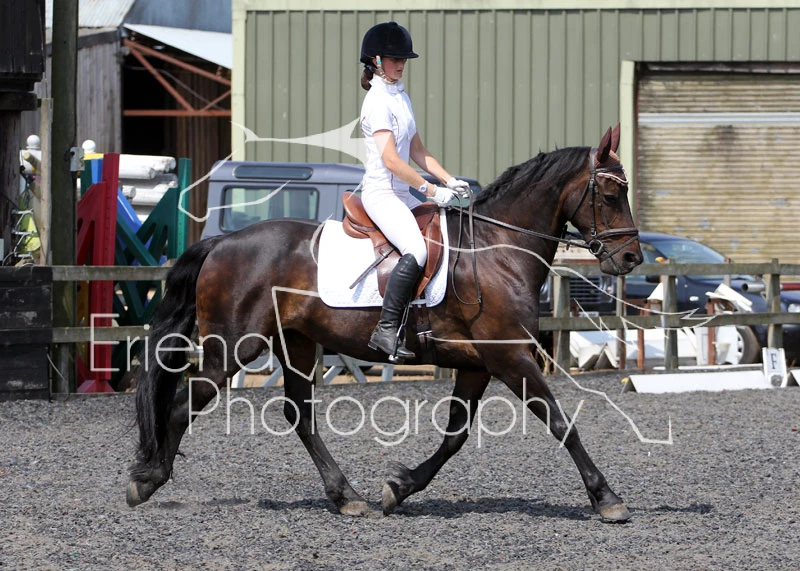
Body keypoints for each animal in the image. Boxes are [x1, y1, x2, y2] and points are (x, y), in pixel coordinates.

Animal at [127, 125, 643, 522]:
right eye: (611, 194)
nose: (631, 258)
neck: (495, 250)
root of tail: (223, 241)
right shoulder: (510, 357)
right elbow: (561, 423)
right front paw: (607, 498)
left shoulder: (478, 363)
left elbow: (455, 435)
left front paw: (400, 487)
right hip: (237, 346)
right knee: (185, 404)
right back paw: (147, 480)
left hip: (296, 343)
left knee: (299, 414)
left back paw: (346, 497)